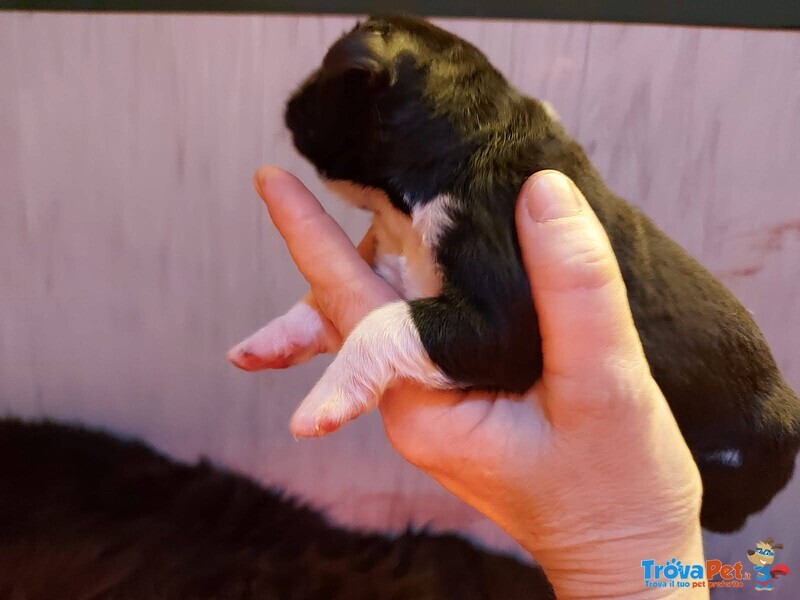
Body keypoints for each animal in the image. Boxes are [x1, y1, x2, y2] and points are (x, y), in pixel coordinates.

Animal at [227, 15, 800, 528]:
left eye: (326, 80)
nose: (291, 100)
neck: (467, 139)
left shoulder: (497, 324)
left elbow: (381, 325)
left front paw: (321, 403)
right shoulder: (403, 269)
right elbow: (327, 306)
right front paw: (268, 342)